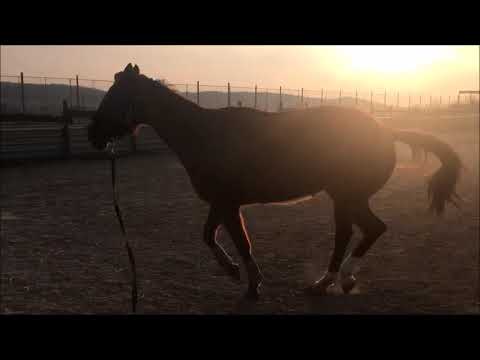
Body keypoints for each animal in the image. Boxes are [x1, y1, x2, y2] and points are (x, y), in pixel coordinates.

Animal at [86, 63, 462, 300]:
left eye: (115, 96)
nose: (93, 136)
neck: (204, 136)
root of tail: (385, 130)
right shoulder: (222, 203)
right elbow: (209, 236)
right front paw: (232, 271)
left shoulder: (228, 205)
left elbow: (241, 244)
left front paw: (252, 285)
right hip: (344, 198)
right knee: (355, 232)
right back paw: (331, 281)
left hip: (348, 197)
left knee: (366, 230)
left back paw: (336, 279)